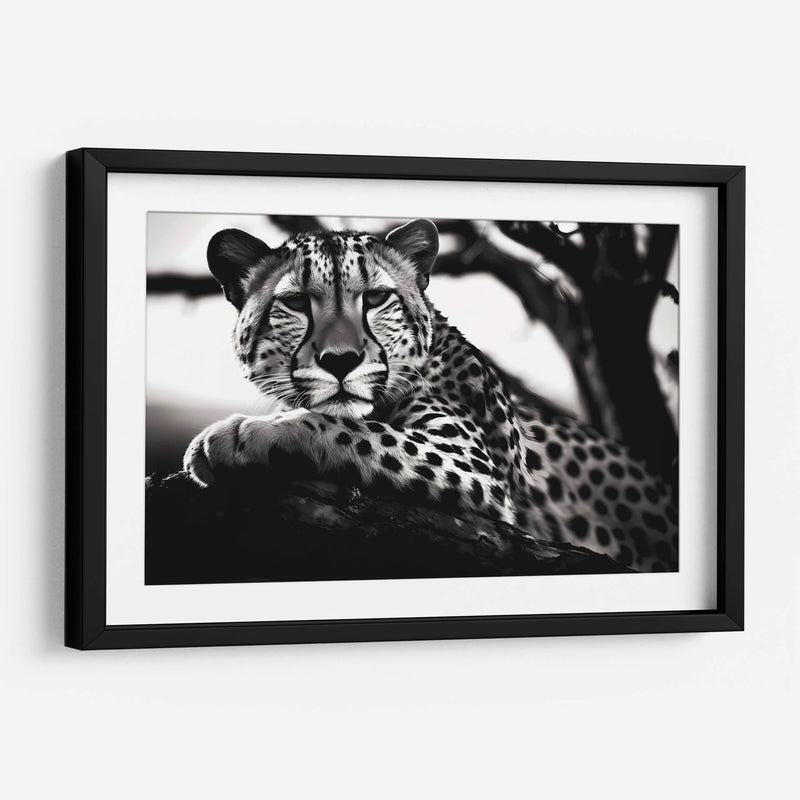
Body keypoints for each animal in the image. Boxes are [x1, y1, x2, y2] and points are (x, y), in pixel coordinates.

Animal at [183, 219, 678, 572]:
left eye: (376, 298)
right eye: (297, 303)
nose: (340, 360)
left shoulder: (474, 466)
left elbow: (350, 427)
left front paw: (242, 434)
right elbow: (353, 422)